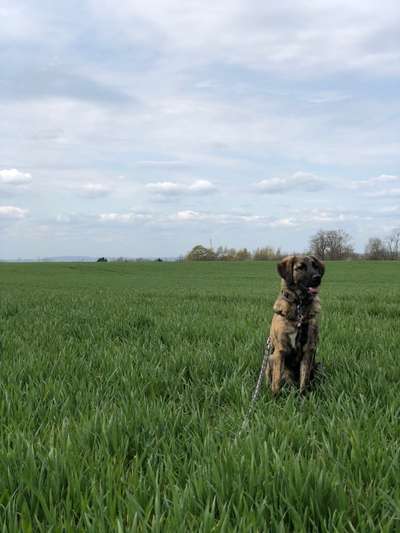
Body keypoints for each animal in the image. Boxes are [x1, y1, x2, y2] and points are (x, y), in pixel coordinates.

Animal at [266, 256, 324, 392]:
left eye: (315, 266)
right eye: (300, 267)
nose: (317, 277)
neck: (299, 306)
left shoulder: (309, 349)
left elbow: (304, 379)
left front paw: (303, 395)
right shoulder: (280, 351)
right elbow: (276, 380)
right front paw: (274, 395)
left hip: (318, 365)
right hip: (270, 359)